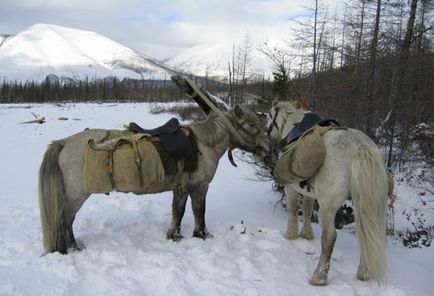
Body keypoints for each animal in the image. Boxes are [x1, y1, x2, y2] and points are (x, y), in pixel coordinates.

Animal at [39, 104, 272, 254]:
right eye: (252, 125)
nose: (268, 148)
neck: (204, 146)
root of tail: (64, 143)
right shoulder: (200, 186)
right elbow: (198, 211)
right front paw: (201, 234)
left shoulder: (181, 188)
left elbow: (179, 212)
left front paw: (176, 235)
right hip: (76, 196)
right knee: (65, 219)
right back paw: (72, 248)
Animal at [266, 100, 392, 286]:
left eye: (268, 116)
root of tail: (360, 147)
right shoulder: (309, 192)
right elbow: (307, 210)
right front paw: (307, 235)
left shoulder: (291, 188)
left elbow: (293, 209)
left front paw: (291, 235)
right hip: (366, 205)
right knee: (367, 233)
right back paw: (363, 273)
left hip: (328, 208)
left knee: (329, 238)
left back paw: (319, 277)